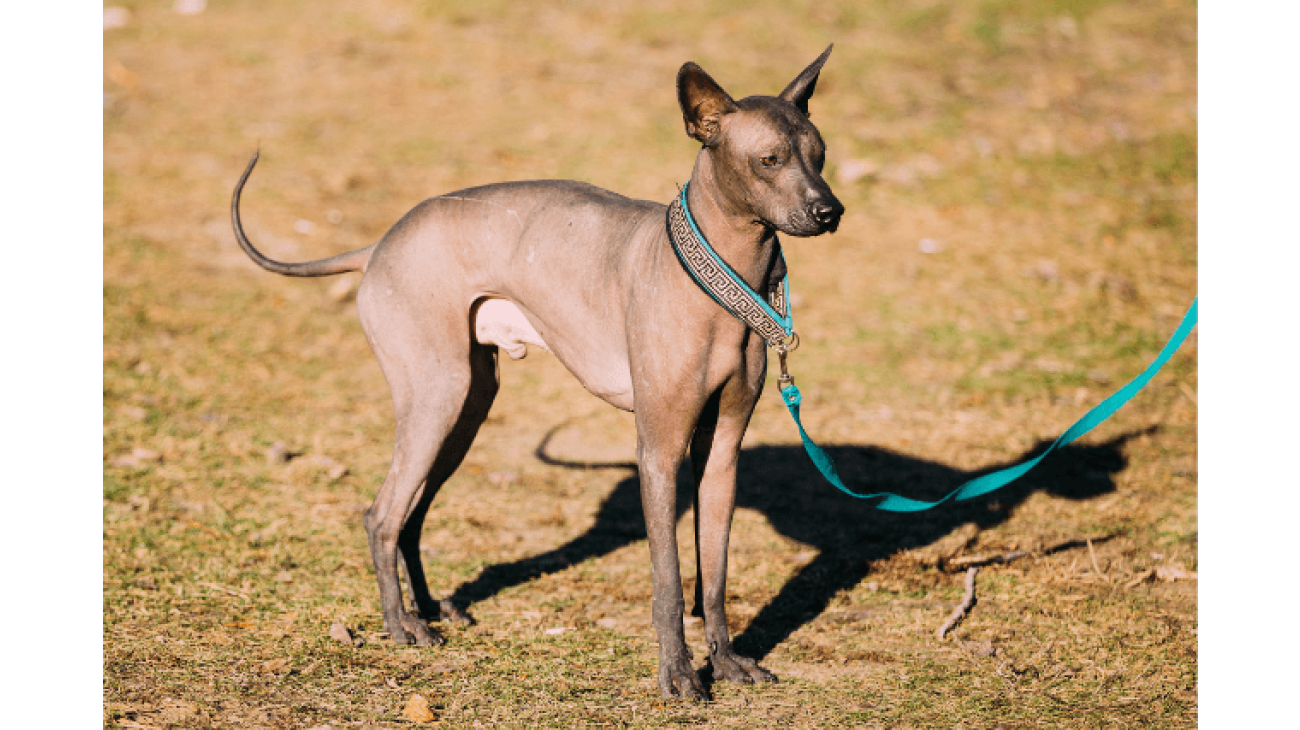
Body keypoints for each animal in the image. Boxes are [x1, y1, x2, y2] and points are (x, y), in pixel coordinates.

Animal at [231, 46, 842, 701]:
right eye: (768, 159)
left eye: (820, 153)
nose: (830, 210)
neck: (724, 278)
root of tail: (377, 246)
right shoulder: (658, 449)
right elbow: (670, 583)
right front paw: (678, 675)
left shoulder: (722, 448)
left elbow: (715, 574)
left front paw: (726, 663)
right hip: (437, 397)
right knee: (383, 515)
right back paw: (402, 625)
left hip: (467, 407)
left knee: (412, 515)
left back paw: (428, 608)